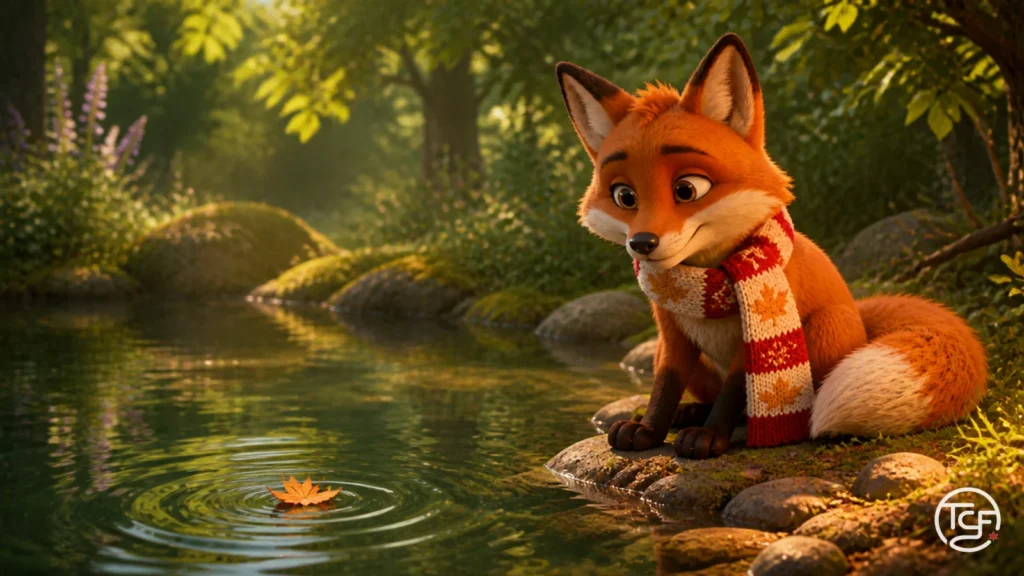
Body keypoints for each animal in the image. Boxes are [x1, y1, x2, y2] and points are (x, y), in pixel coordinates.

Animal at [556, 33, 988, 459]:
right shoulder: (672, 335)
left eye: (687, 189)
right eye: (625, 196)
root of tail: (859, 316)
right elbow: (663, 387)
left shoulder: (751, 342)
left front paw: (708, 438)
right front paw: (648, 430)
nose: (642, 243)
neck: (708, 281)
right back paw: (691, 412)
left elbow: (733, 393)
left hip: (824, 327)